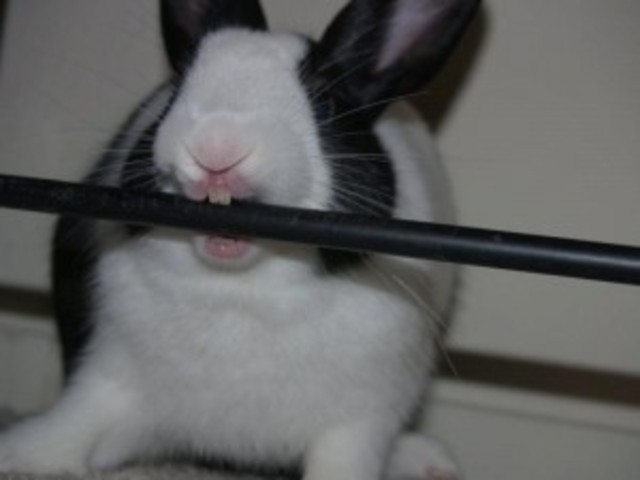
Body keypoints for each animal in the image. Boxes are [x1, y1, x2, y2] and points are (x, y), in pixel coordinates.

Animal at [0, 0, 480, 479]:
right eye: (174, 94)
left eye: (327, 104)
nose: (215, 147)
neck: (240, 289)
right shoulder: (110, 373)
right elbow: (78, 419)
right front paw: (23, 454)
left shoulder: (360, 422)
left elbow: (345, 460)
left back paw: (431, 461)